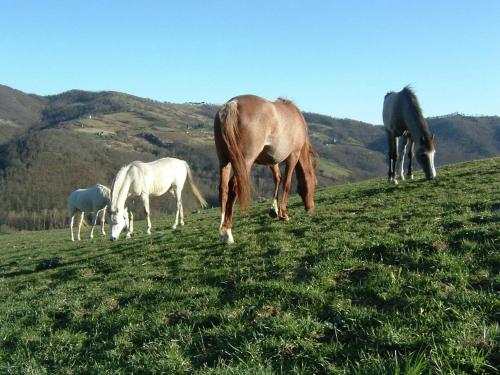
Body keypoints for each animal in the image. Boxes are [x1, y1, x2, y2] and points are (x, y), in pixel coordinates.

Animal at [214, 95, 316, 245]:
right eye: (314, 184)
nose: (311, 207)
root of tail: (232, 104)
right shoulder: (293, 155)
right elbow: (287, 183)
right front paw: (283, 214)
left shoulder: (272, 160)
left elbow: (277, 178)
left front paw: (274, 210)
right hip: (244, 162)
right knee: (234, 186)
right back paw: (228, 232)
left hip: (224, 160)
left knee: (223, 188)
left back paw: (221, 230)